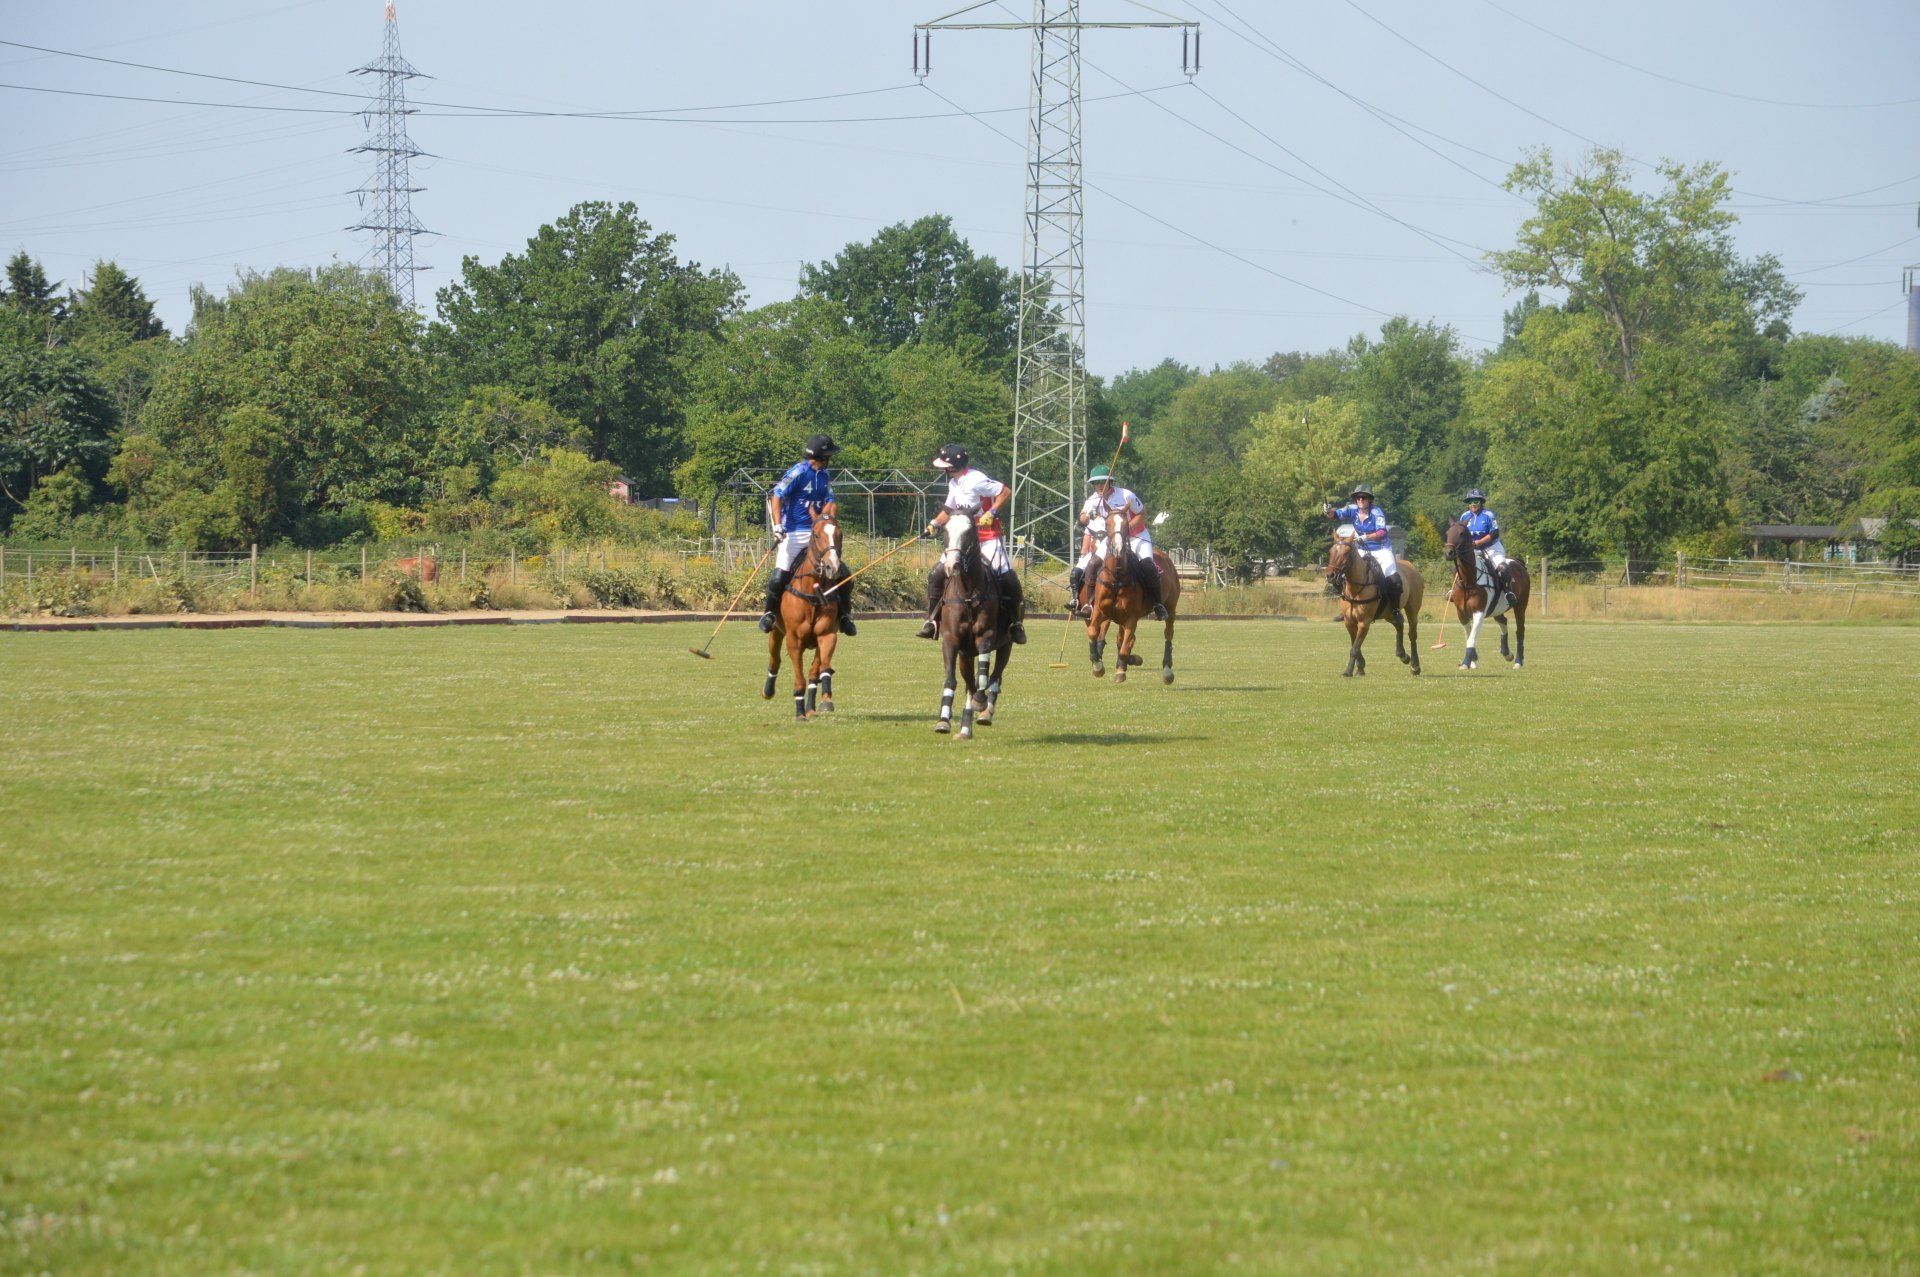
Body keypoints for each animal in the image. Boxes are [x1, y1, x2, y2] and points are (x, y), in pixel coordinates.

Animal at [761, 507, 844, 720]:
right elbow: (799, 678)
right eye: (816, 535)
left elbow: (819, 670)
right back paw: (768, 691)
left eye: (840, 534)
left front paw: (823, 701)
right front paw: (800, 712)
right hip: (776, 631)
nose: (832, 567)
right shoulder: (794, 640)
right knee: (775, 660)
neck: (813, 591)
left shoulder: (827, 635)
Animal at [931, 514, 1012, 738]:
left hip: (1006, 644)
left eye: (969, 532)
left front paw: (981, 702)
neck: (968, 593)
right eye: (945, 531)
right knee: (969, 684)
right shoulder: (951, 640)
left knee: (995, 677)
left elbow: (984, 675)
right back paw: (965, 729)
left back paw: (986, 712)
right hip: (965, 654)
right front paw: (943, 720)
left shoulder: (986, 635)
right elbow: (951, 680)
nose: (952, 566)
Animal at [1085, 508, 1180, 685]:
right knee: (1120, 638)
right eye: (1107, 523)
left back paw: (1167, 671)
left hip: (1171, 607)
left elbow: (1125, 645)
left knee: (1168, 634)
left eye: (1126, 524)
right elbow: (1094, 631)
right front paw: (1098, 666)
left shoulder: (1132, 617)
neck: (1116, 578)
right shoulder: (1100, 611)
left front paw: (1121, 670)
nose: (1118, 548)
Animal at [1325, 531, 1424, 677]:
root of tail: (1411, 565)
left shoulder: (1364, 622)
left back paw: (1415, 666)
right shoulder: (1349, 621)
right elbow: (1354, 645)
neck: (1355, 589)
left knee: (1412, 634)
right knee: (1399, 624)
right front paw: (1360, 667)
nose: (1330, 575)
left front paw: (1348, 671)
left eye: (1347, 553)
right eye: (1331, 551)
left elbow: (1354, 648)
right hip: (1388, 612)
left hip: (1412, 608)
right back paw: (1402, 655)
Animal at [1443, 517, 1529, 670]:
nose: (1449, 553)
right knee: (1503, 621)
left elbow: (1471, 638)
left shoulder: (1479, 612)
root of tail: (1519, 563)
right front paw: (1473, 661)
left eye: (1461, 533)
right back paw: (1507, 653)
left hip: (1520, 605)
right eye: (1448, 533)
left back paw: (1518, 662)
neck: (1468, 581)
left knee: (1520, 630)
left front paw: (1465, 663)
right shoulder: (1461, 613)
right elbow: (1468, 635)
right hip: (1497, 608)